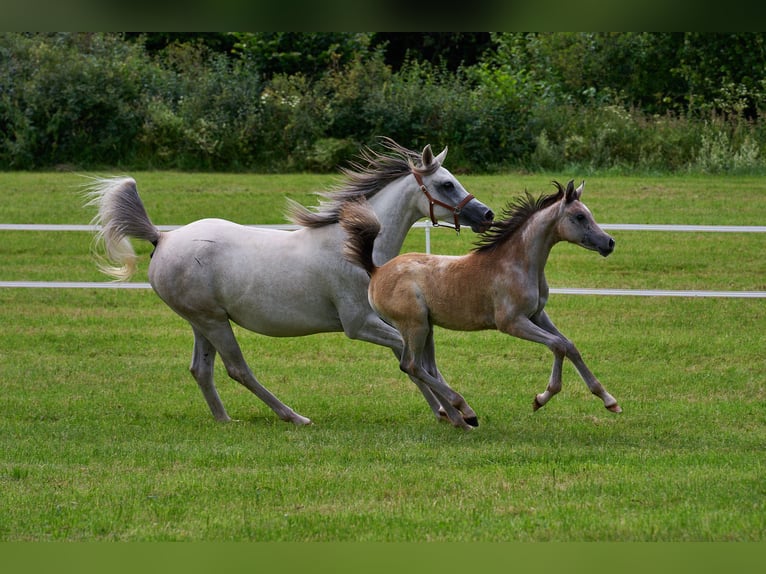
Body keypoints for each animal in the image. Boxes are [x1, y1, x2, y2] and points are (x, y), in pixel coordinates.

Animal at [87, 140, 496, 428]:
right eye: (446, 184)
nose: (487, 214)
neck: (357, 248)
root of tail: (162, 238)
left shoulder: (398, 319)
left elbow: (418, 360)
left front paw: (450, 413)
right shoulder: (359, 325)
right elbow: (410, 359)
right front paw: (459, 411)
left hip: (202, 322)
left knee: (201, 370)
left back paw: (225, 419)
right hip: (214, 322)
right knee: (238, 369)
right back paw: (293, 416)